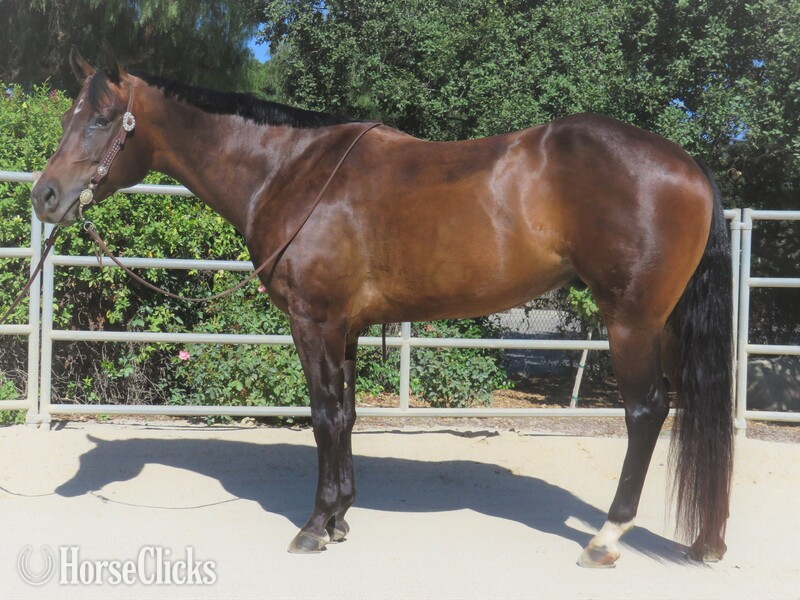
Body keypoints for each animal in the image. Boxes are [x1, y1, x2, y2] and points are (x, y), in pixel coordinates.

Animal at [31, 45, 734, 567]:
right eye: (67, 116)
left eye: (101, 119)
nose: (44, 196)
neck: (291, 169)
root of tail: (691, 166)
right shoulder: (345, 326)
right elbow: (345, 416)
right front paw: (341, 516)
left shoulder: (312, 320)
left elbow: (322, 415)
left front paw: (315, 526)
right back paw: (706, 542)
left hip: (631, 321)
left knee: (647, 411)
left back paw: (606, 538)